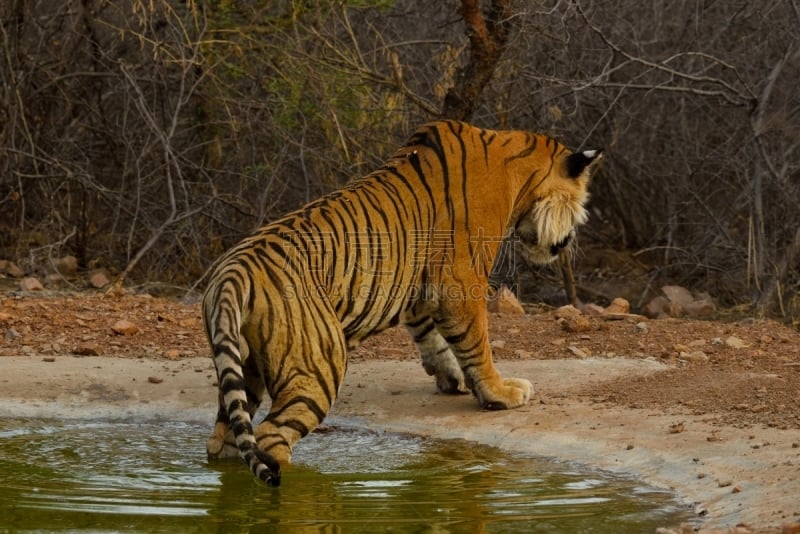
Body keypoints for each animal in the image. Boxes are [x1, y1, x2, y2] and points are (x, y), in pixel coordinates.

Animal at [203, 119, 604, 488]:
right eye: (581, 202)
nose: (567, 243)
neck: (519, 175)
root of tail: (231, 275)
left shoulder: (419, 286)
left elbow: (433, 337)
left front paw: (453, 378)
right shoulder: (462, 281)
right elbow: (477, 344)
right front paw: (499, 392)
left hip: (243, 372)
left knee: (226, 439)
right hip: (317, 367)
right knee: (271, 438)